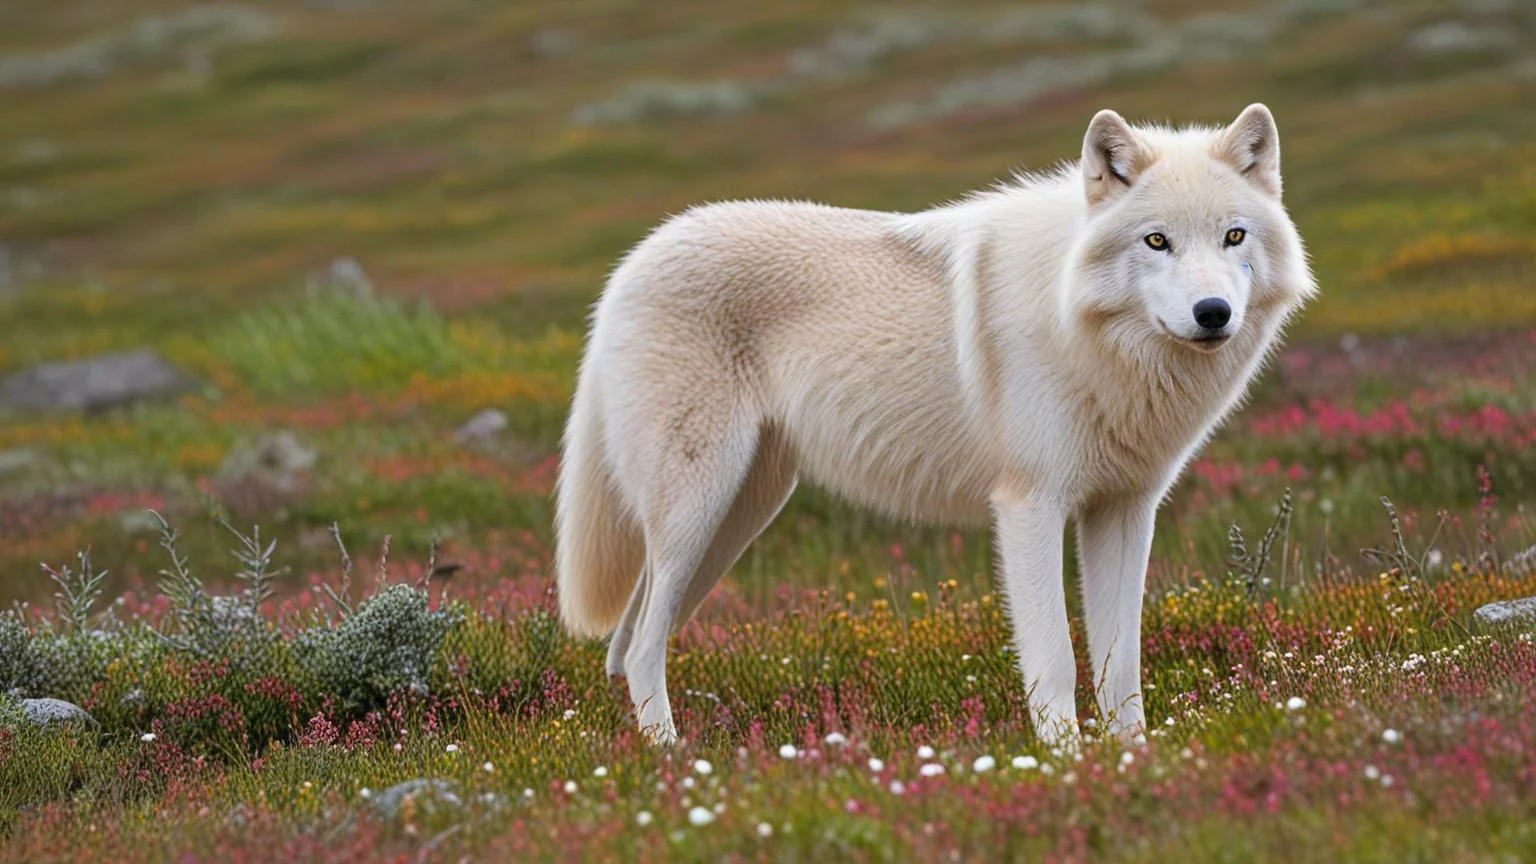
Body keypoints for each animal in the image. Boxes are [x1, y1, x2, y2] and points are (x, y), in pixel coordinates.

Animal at [554, 104, 1316, 747]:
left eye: (1234, 236)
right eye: (1157, 241)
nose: (1213, 312)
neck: (1085, 330)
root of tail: (629, 266)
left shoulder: (1125, 511)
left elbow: (1120, 664)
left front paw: (1134, 759)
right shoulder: (1030, 508)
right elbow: (1058, 660)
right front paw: (1067, 764)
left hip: (736, 520)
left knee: (626, 644)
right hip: (699, 512)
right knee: (643, 645)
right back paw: (674, 761)